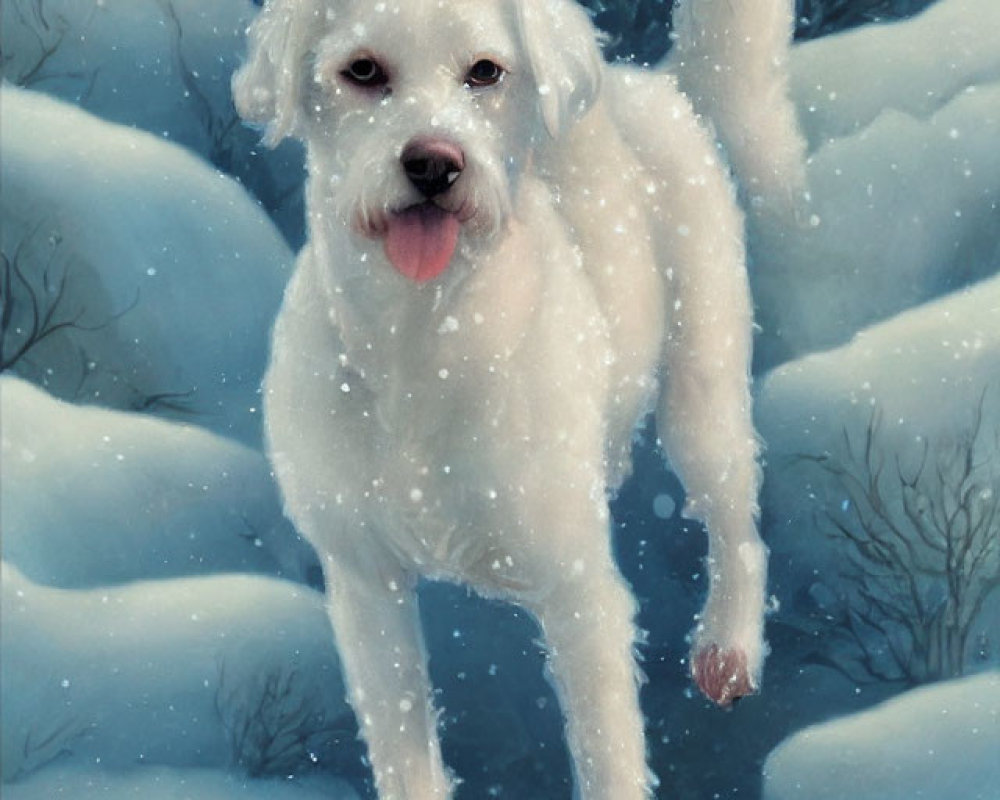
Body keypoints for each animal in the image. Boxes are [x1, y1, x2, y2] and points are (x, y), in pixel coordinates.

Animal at [232, 3, 796, 796]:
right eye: (362, 70)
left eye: (485, 72)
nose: (434, 163)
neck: (422, 341)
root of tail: (654, 84)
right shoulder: (368, 593)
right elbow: (405, 752)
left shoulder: (582, 601)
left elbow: (608, 756)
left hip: (702, 396)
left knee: (737, 525)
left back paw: (729, 648)